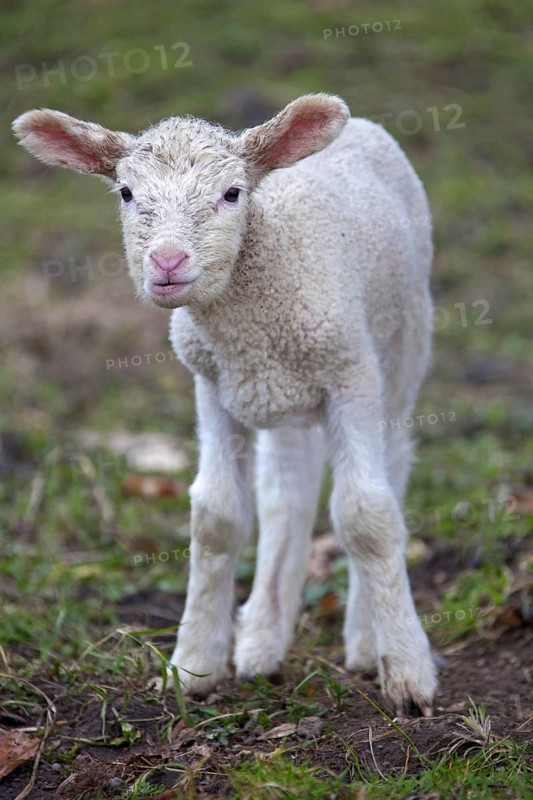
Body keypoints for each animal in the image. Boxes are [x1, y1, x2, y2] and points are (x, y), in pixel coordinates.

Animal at [13, 94, 437, 715]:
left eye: (233, 193)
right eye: (126, 193)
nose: (167, 262)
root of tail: (361, 124)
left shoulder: (351, 374)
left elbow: (367, 515)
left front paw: (408, 673)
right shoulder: (213, 383)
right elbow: (217, 517)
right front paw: (193, 667)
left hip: (402, 342)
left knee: (395, 461)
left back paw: (364, 639)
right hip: (279, 395)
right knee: (288, 488)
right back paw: (263, 637)